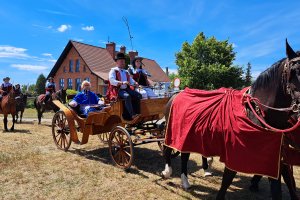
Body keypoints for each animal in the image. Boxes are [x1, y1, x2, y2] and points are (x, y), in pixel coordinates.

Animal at [163, 39, 300, 199]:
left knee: (184, 155)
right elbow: (228, 178)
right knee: (168, 148)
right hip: (173, 131)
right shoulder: (235, 151)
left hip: (188, 135)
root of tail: (176, 94)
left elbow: (287, 181)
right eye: (294, 72)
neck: (254, 112)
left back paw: (185, 181)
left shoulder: (276, 155)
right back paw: (167, 171)